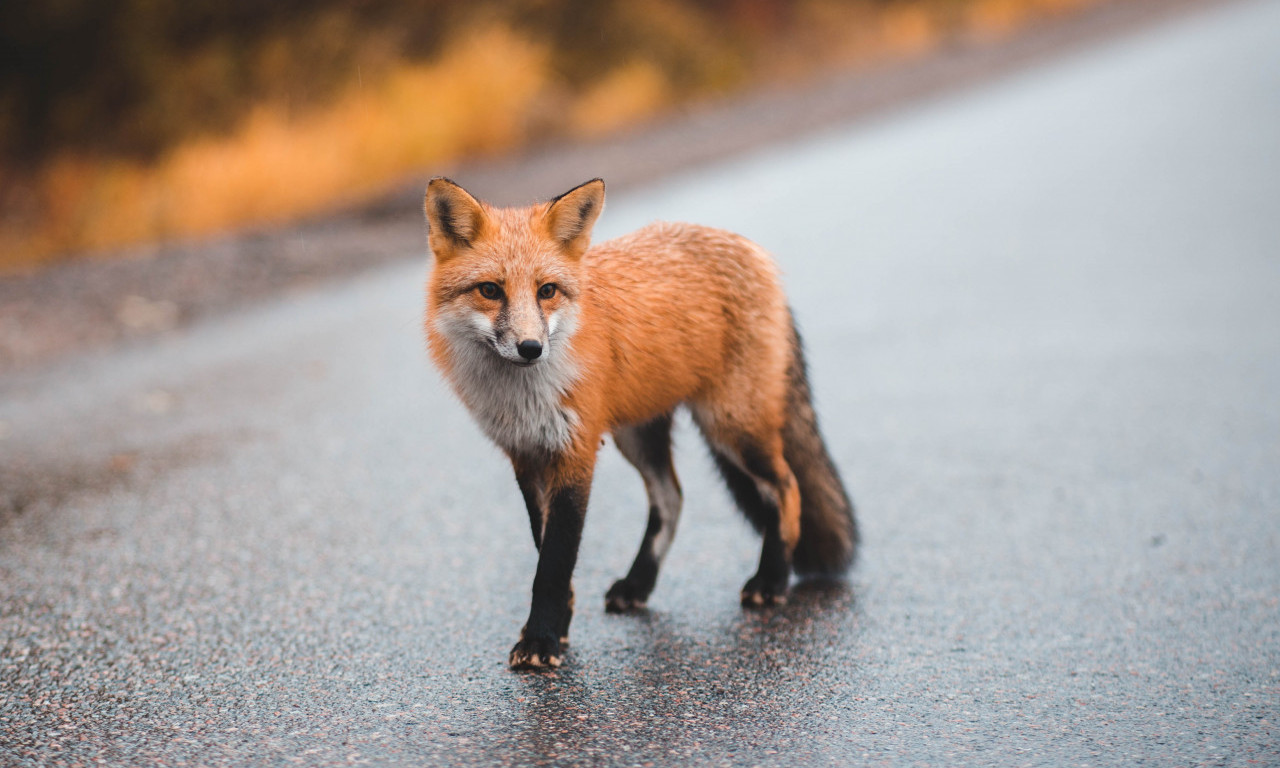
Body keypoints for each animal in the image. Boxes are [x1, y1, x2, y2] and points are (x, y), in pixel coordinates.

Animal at [424, 176, 855, 670]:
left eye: (546, 291)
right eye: (490, 290)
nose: (531, 348)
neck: (523, 397)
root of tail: (751, 249)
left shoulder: (576, 451)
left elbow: (554, 561)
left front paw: (541, 640)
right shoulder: (527, 455)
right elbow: (545, 549)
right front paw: (558, 628)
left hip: (731, 426)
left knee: (786, 488)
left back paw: (771, 580)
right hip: (639, 435)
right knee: (672, 498)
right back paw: (638, 585)